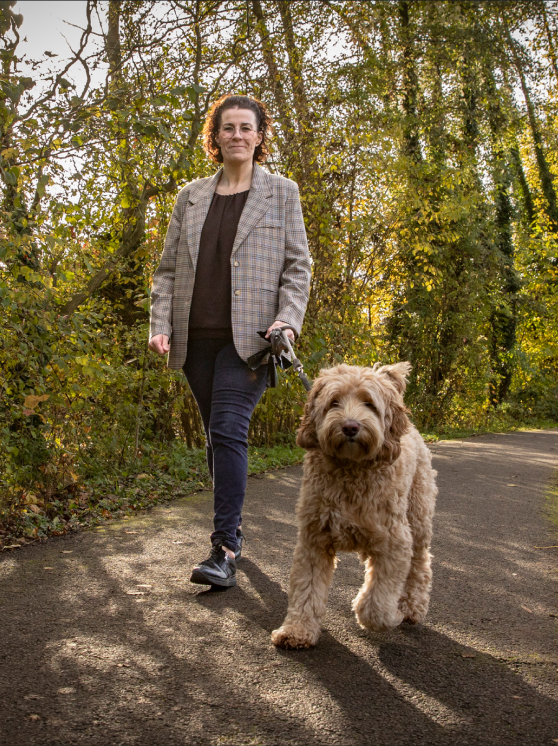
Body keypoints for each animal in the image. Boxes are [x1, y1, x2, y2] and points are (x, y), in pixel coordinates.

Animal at [274, 360, 440, 644]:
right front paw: (297, 630)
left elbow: (377, 604)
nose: (350, 426)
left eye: (369, 404)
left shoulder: (394, 542)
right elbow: (306, 587)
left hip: (418, 517)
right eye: (334, 402)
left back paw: (410, 606)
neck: (351, 469)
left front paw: (388, 615)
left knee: (420, 563)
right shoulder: (313, 538)